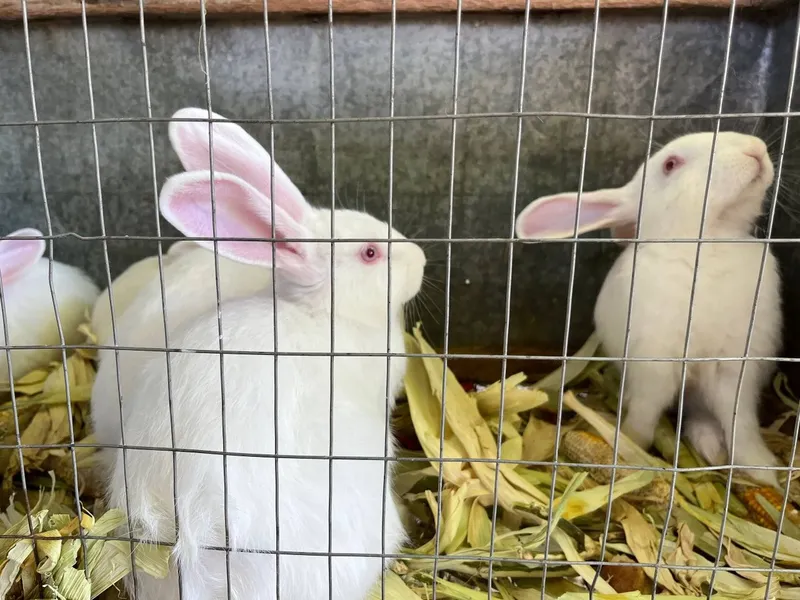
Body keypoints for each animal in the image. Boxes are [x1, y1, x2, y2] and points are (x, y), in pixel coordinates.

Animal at [515, 131, 782, 488]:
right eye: (670, 164)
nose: (754, 149)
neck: (709, 243)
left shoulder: (734, 369)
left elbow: (742, 424)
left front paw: (763, 471)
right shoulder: (655, 366)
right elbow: (645, 414)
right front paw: (629, 449)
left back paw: (711, 447)